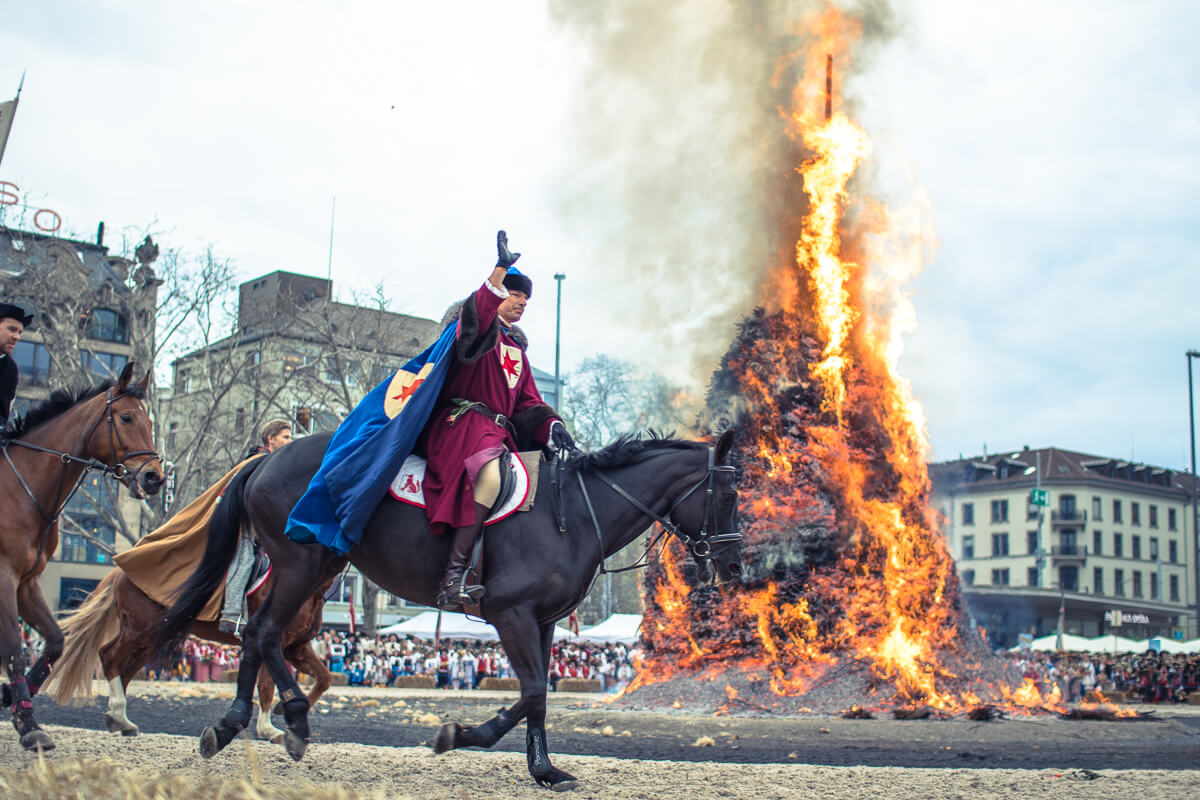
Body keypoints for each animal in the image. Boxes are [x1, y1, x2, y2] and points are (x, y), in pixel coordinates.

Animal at [0, 362, 162, 753]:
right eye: (126, 417)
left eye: (150, 422)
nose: (155, 478)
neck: (21, 491)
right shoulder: (4, 576)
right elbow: (14, 648)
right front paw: (28, 724)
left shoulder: (27, 581)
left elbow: (55, 642)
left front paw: (11, 697)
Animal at [43, 566, 331, 743]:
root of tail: (122, 571)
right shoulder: (271, 644)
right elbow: (267, 687)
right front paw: (270, 728)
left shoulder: (296, 648)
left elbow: (324, 679)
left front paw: (288, 711)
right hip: (141, 630)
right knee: (109, 657)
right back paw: (120, 715)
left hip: (150, 638)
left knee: (124, 670)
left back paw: (121, 719)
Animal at [159, 429, 739, 791]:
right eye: (730, 494)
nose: (734, 565)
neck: (572, 512)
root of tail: (269, 457)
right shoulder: (511, 614)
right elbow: (531, 692)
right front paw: (461, 736)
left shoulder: (544, 621)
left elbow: (539, 699)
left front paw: (544, 770)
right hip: (301, 564)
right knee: (262, 632)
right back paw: (280, 719)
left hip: (315, 567)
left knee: (261, 634)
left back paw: (244, 724)